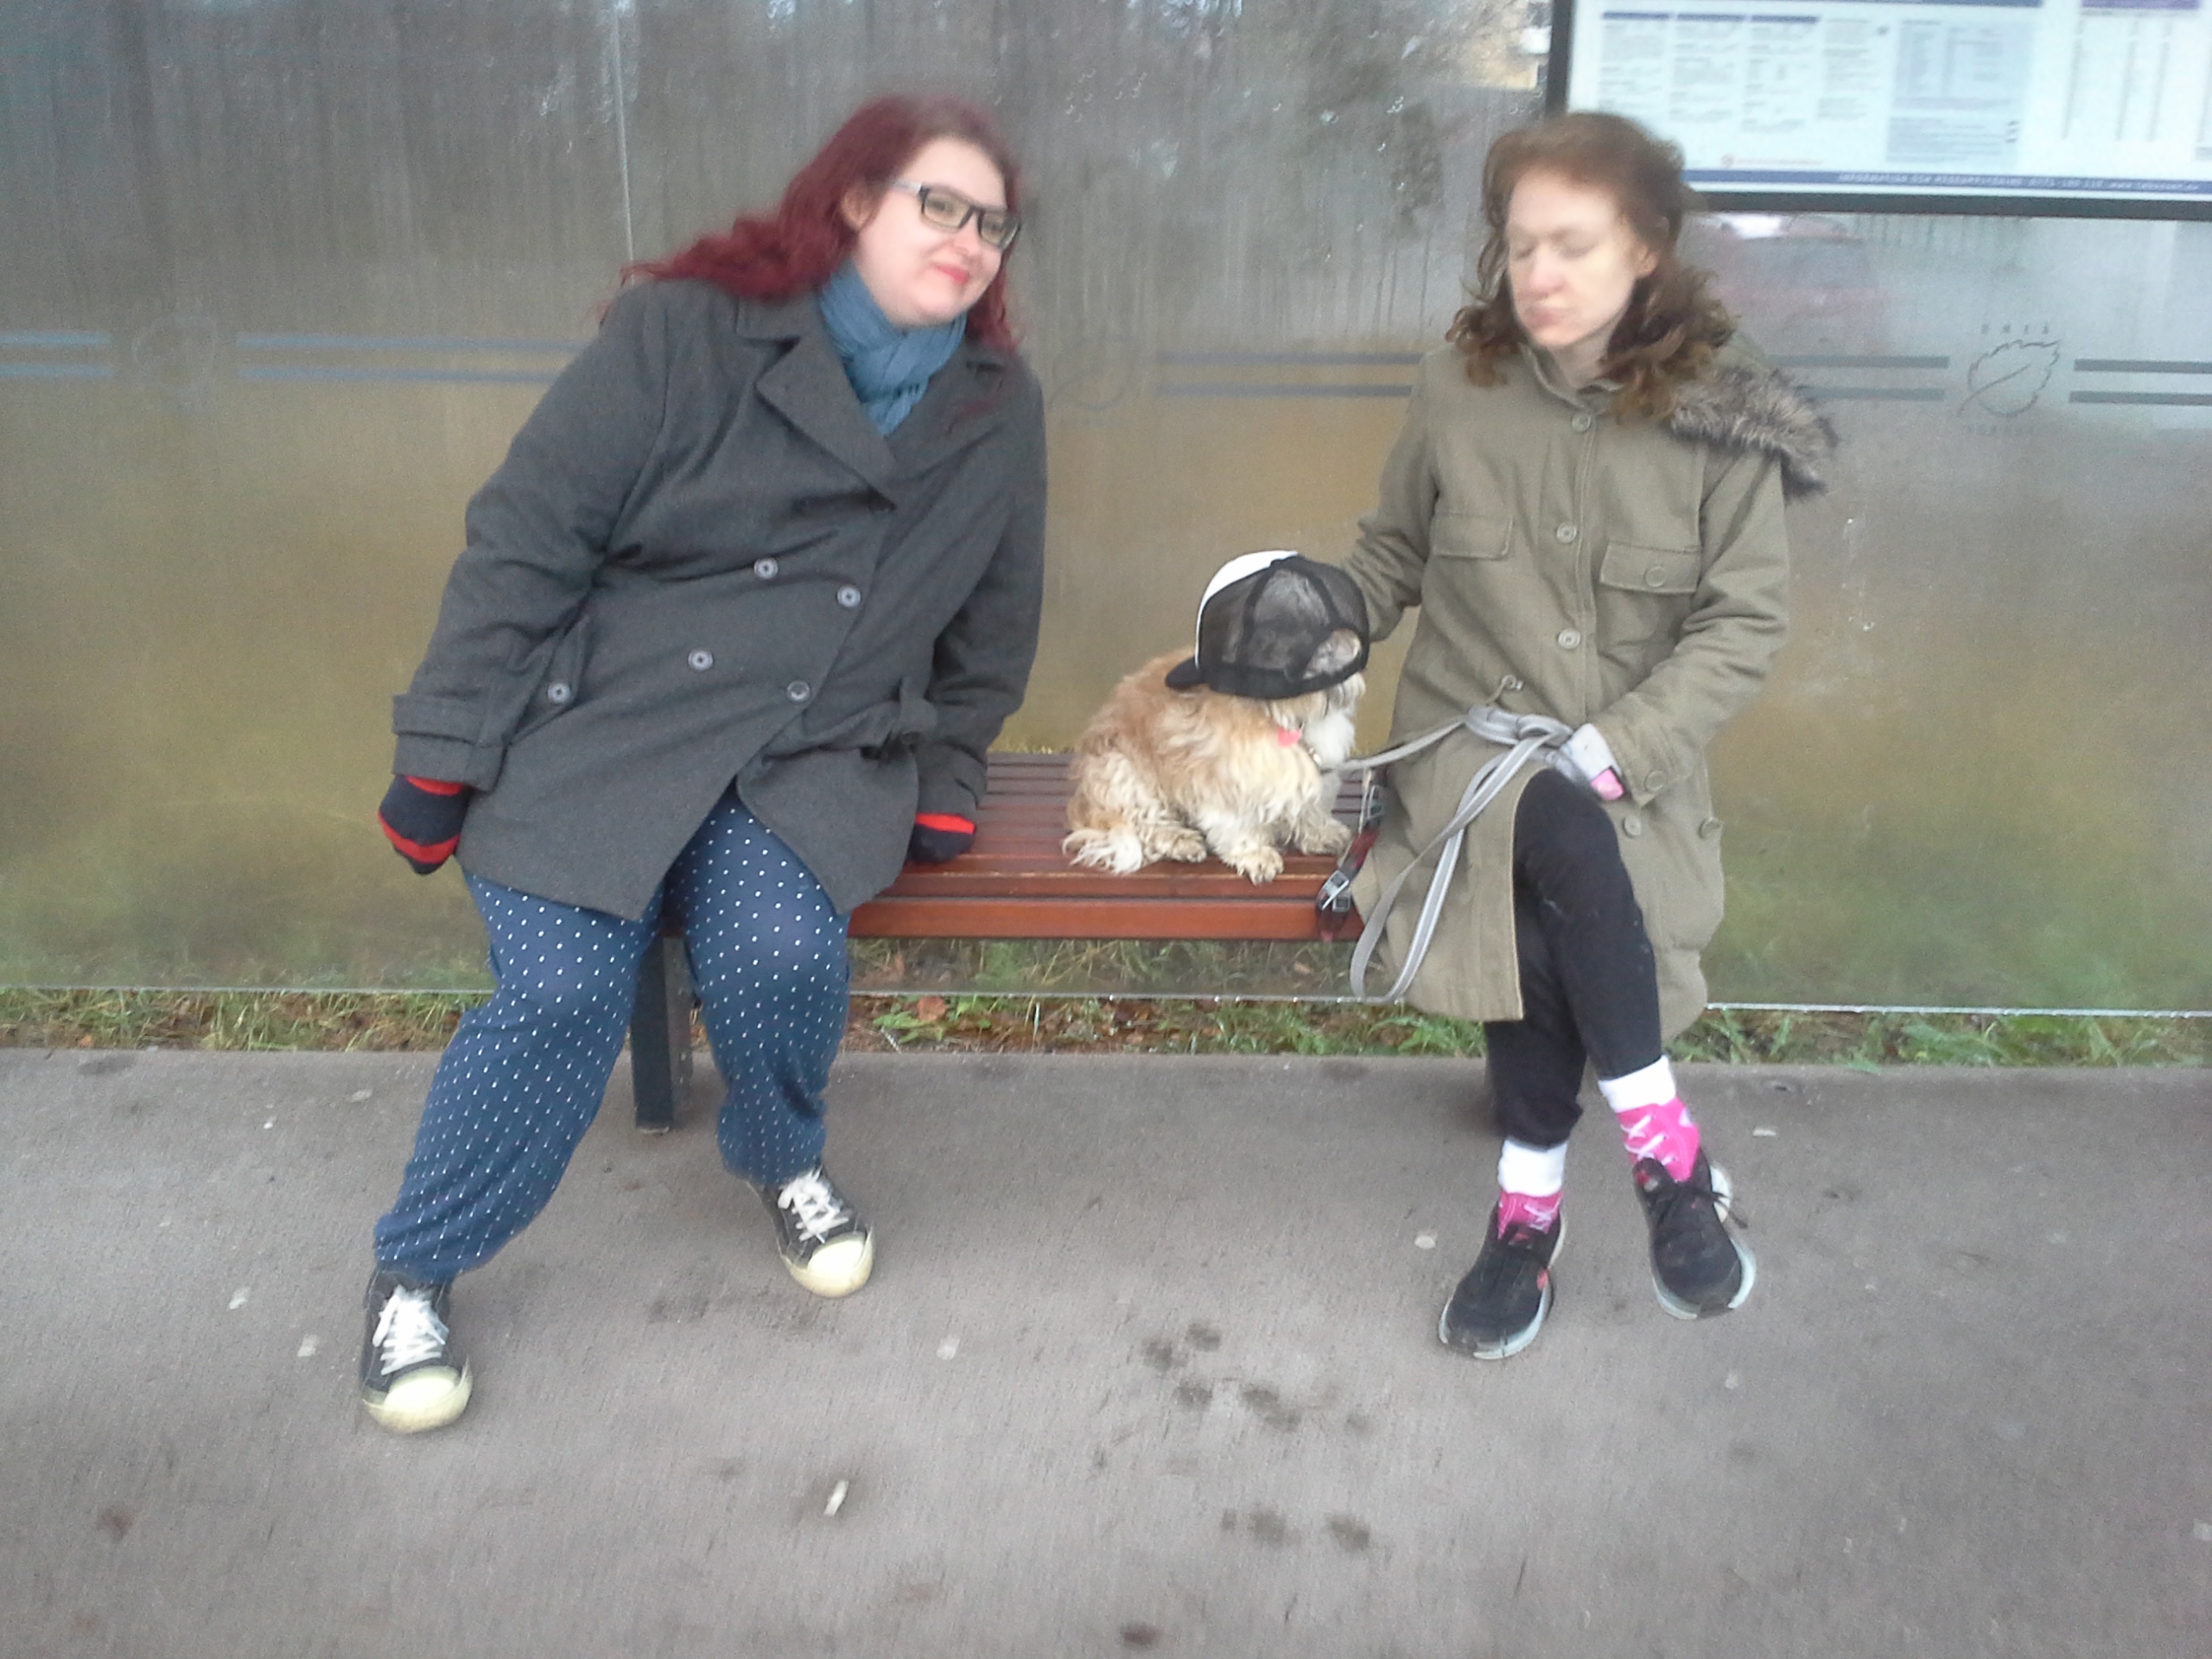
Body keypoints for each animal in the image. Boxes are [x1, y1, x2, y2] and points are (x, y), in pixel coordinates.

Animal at [1063, 552, 1369, 885]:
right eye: (1281, 629)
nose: (1334, 650)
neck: (1283, 712)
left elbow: (1310, 807)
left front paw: (1319, 833)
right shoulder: (1225, 777)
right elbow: (1237, 823)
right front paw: (1254, 853)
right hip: (1124, 774)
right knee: (1147, 823)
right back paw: (1178, 840)